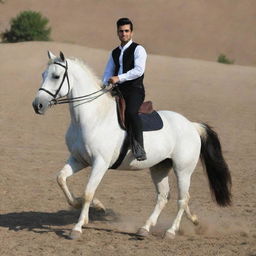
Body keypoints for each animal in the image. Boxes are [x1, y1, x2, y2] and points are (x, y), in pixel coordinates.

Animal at [32, 51, 232, 240]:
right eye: (43, 74)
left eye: (56, 76)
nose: (37, 105)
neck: (92, 117)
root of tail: (192, 125)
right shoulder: (79, 159)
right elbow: (61, 179)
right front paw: (95, 207)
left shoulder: (100, 163)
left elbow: (88, 192)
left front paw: (78, 227)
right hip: (159, 167)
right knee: (163, 197)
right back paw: (148, 228)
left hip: (183, 170)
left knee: (182, 199)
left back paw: (171, 231)